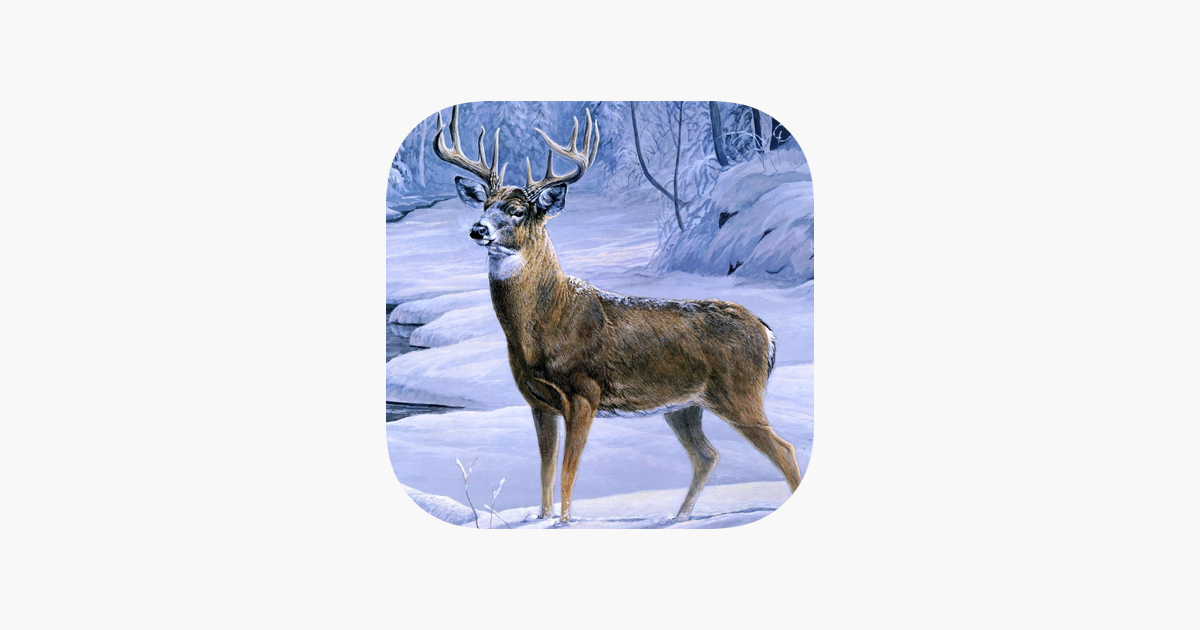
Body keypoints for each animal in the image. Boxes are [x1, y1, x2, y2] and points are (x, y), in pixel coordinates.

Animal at [431, 104, 802, 524]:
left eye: (518, 210)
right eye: (484, 205)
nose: (478, 230)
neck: (544, 324)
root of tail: (768, 332)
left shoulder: (585, 392)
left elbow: (567, 473)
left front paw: (565, 523)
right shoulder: (538, 401)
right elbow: (545, 472)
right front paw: (543, 520)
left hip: (739, 392)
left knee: (785, 449)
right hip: (685, 406)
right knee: (707, 455)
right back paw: (677, 519)